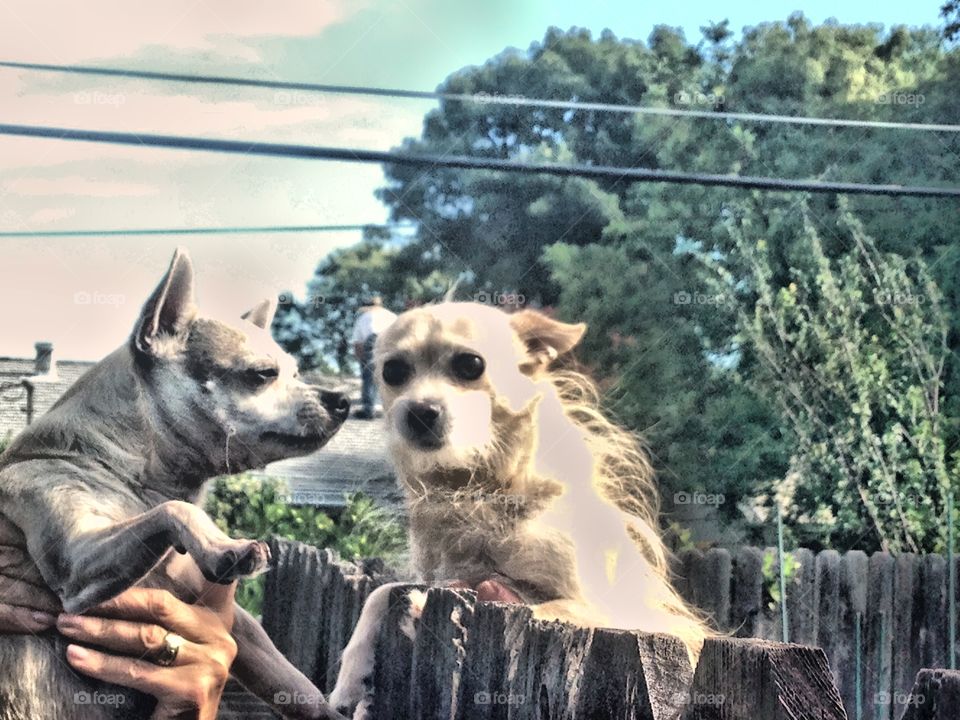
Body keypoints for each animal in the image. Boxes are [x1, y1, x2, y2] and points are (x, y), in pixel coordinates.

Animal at [0, 249, 350, 720]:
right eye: (262, 374)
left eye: (297, 374)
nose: (343, 400)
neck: (139, 477)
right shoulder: (76, 564)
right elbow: (176, 510)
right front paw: (223, 545)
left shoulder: (240, 626)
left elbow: (287, 675)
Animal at [330, 300, 704, 716]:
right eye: (393, 371)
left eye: (470, 364)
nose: (419, 411)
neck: (482, 490)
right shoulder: (449, 576)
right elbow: (382, 590)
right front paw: (351, 676)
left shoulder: (620, 614)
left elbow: (545, 610)